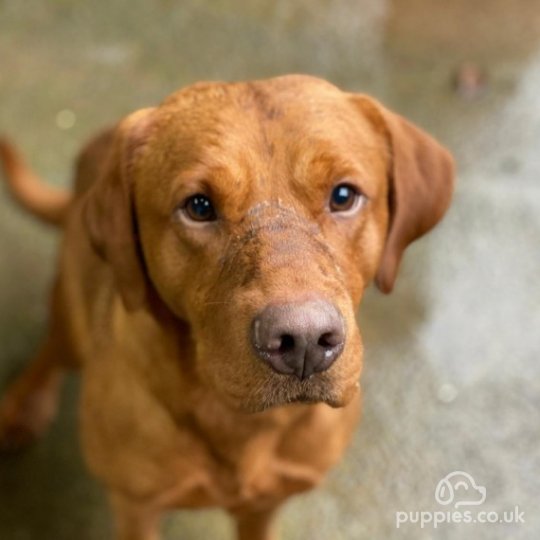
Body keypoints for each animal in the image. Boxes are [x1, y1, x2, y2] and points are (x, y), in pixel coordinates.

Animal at [0, 76, 454, 540]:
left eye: (344, 196)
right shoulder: (136, 506)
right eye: (199, 206)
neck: (242, 425)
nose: (304, 341)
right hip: (71, 309)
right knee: (52, 348)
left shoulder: (267, 503)